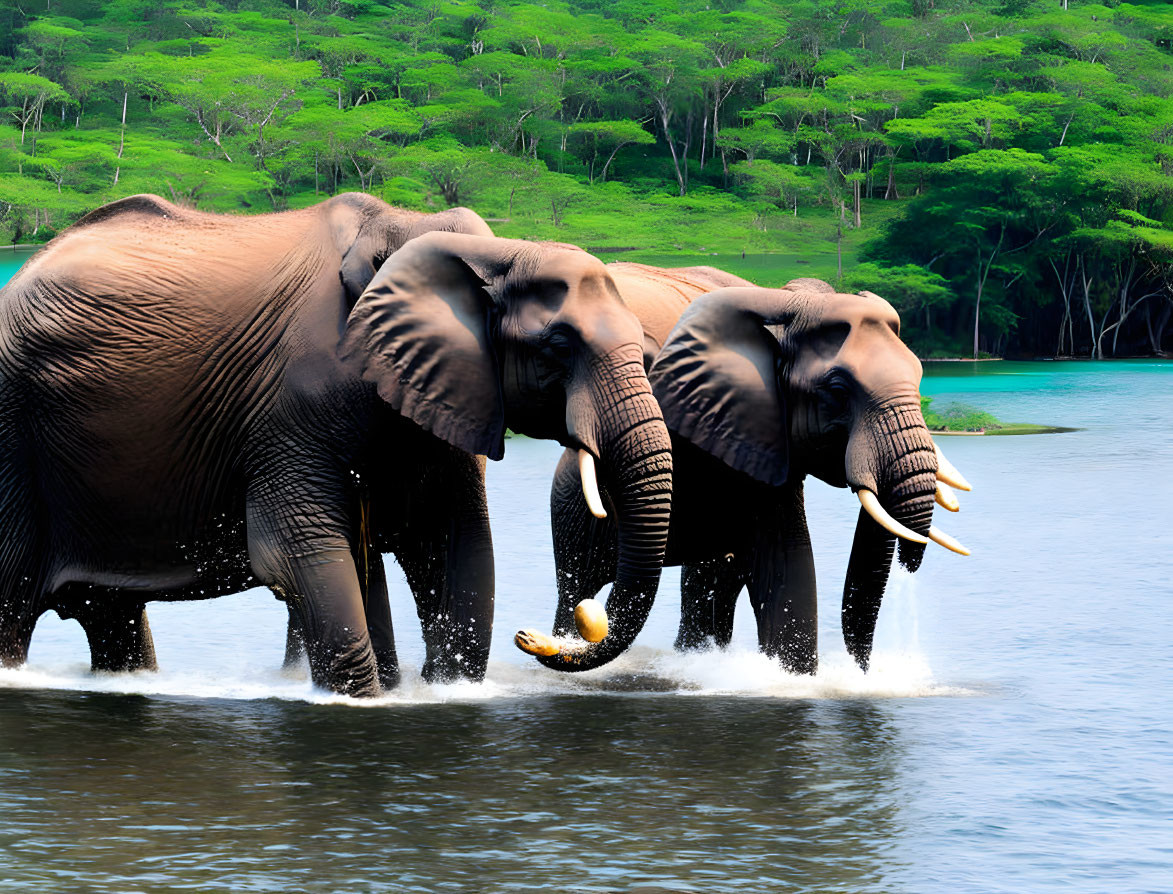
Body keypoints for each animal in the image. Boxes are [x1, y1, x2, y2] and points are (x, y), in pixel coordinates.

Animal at [0, 193, 675, 694]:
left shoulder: (445, 394)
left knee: (111, 613)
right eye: (558, 346)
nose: (536, 636)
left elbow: (453, 544)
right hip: (13, 434)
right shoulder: (287, 411)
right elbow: (300, 553)